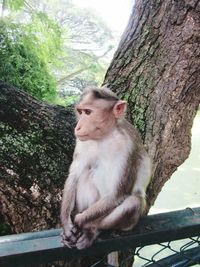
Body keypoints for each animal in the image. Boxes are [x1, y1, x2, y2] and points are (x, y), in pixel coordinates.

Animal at [60, 86, 151, 253]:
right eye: (80, 112)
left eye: (88, 112)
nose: (78, 127)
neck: (106, 135)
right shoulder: (82, 141)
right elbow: (74, 175)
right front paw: (67, 224)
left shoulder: (127, 146)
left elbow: (117, 194)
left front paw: (79, 219)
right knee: (86, 174)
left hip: (125, 222)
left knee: (133, 202)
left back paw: (92, 229)